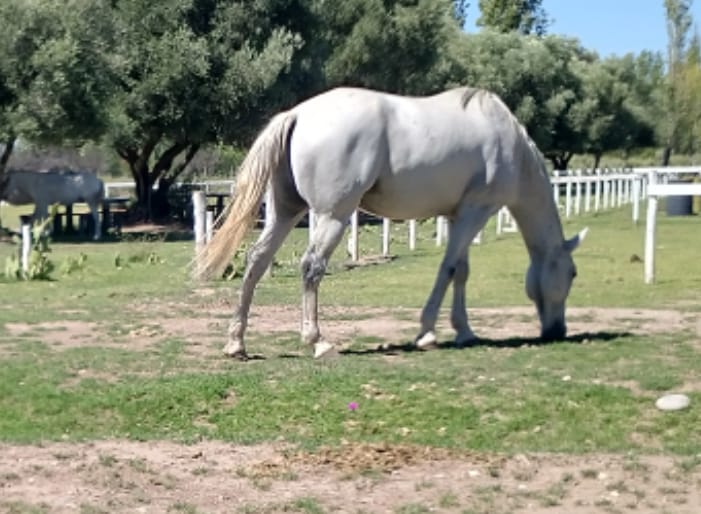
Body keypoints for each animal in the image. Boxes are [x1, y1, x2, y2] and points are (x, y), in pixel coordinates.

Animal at [195, 86, 587, 360]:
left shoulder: (458, 216)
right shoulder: (477, 211)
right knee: (311, 266)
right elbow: (448, 269)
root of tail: (298, 114)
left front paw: (464, 331)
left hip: (285, 212)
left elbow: (460, 271)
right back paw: (318, 341)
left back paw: (236, 343)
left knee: (256, 261)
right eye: (572, 273)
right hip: (332, 216)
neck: (509, 144)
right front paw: (427, 333)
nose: (557, 331)